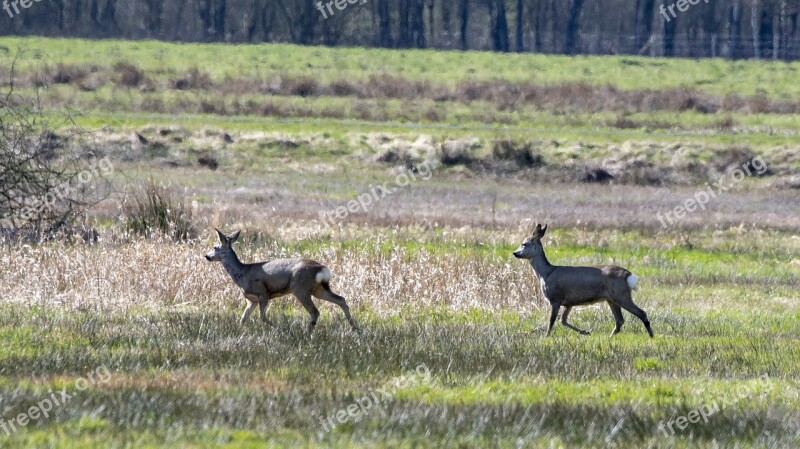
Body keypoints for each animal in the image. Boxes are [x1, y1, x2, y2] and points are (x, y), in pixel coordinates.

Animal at [205, 229, 358, 330]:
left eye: (215, 247)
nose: (206, 256)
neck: (242, 273)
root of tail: (322, 269)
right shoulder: (252, 300)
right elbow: (243, 318)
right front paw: (239, 330)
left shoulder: (263, 293)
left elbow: (262, 317)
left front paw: (280, 328)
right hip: (318, 289)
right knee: (341, 299)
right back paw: (354, 328)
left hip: (300, 287)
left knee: (315, 311)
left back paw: (308, 333)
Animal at [516, 224, 652, 336]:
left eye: (524, 244)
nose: (515, 253)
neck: (545, 273)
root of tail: (629, 275)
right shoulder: (569, 302)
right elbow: (563, 321)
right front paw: (585, 332)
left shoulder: (555, 297)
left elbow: (552, 321)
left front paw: (547, 336)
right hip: (611, 298)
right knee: (619, 320)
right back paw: (610, 337)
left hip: (621, 294)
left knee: (641, 313)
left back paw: (651, 336)